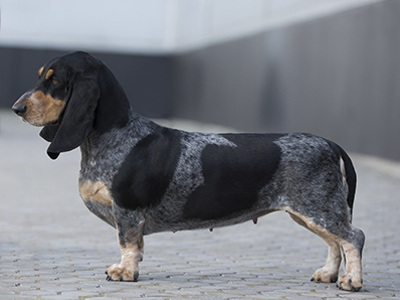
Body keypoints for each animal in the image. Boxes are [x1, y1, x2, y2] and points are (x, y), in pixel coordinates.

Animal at [11, 51, 366, 290]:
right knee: (335, 243)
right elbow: (136, 247)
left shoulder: (127, 212)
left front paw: (125, 272)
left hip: (317, 209)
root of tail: (332, 144)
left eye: (55, 81)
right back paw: (328, 274)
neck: (115, 133)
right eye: (41, 76)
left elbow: (127, 244)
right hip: (310, 213)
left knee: (353, 237)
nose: (16, 108)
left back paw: (351, 280)